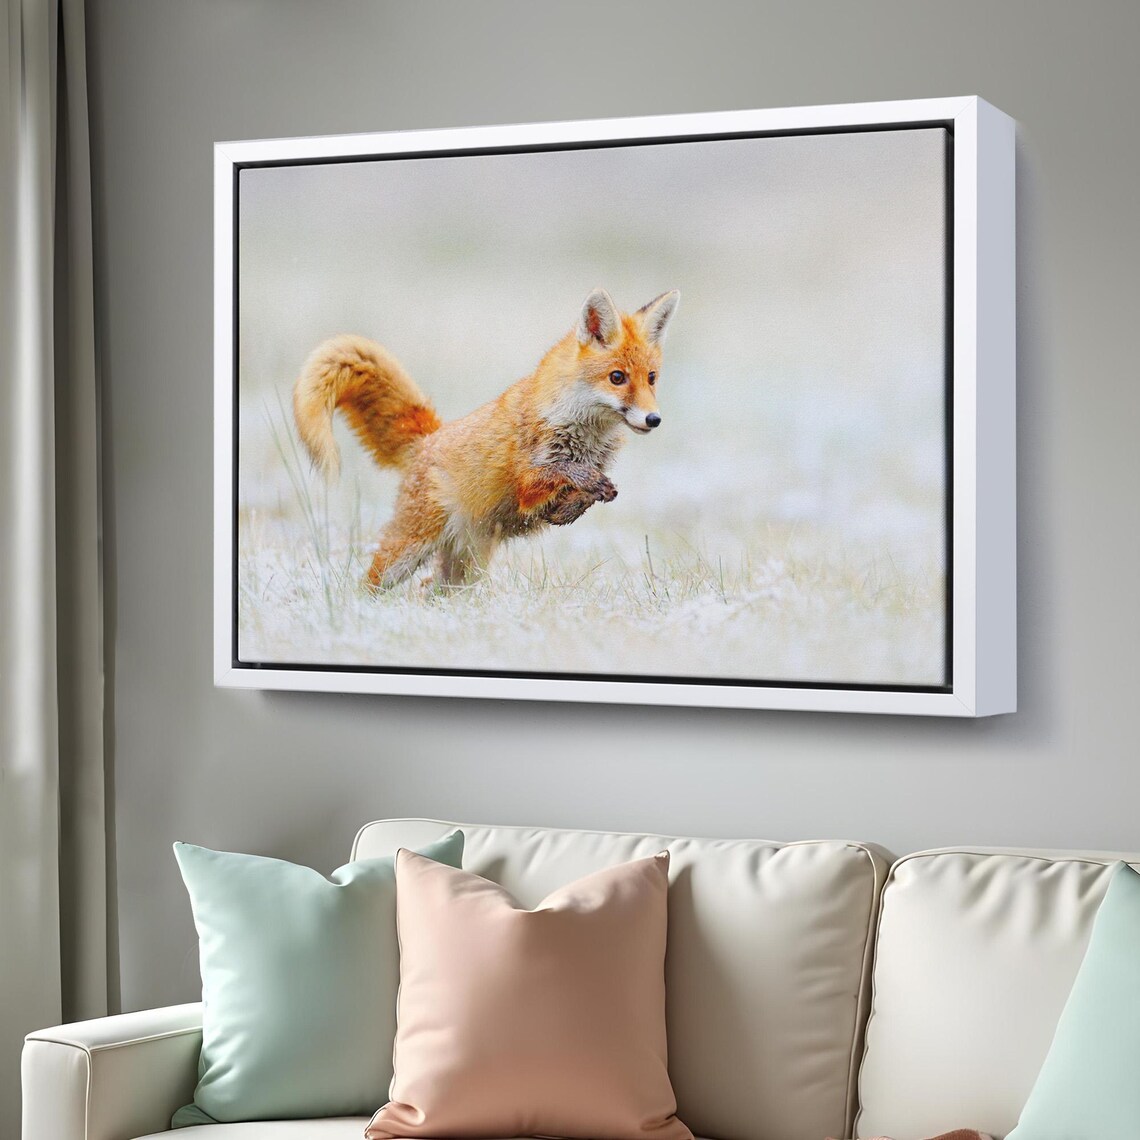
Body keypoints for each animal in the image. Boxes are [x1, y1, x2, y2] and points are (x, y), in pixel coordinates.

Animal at [292, 286, 680, 591]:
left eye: (651, 378)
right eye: (617, 377)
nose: (654, 419)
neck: (584, 432)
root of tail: (429, 437)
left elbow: (582, 496)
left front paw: (576, 505)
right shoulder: (528, 480)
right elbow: (560, 472)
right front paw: (584, 482)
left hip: (466, 566)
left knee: (429, 589)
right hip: (408, 550)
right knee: (369, 584)